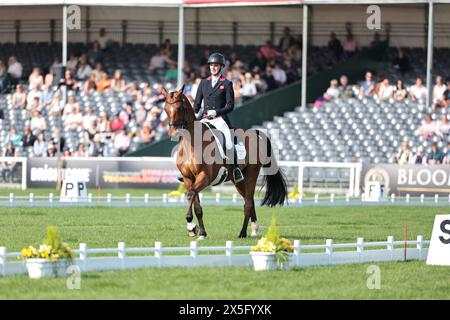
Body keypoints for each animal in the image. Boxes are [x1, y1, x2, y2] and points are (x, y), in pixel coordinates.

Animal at [162, 86, 286, 239]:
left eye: (179, 108)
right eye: (165, 109)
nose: (173, 133)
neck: (190, 144)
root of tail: (255, 133)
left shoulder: (204, 177)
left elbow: (190, 194)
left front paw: (191, 225)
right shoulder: (188, 178)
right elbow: (197, 205)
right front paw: (200, 232)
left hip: (251, 174)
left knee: (248, 203)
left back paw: (243, 233)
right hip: (238, 181)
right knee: (248, 199)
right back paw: (254, 228)